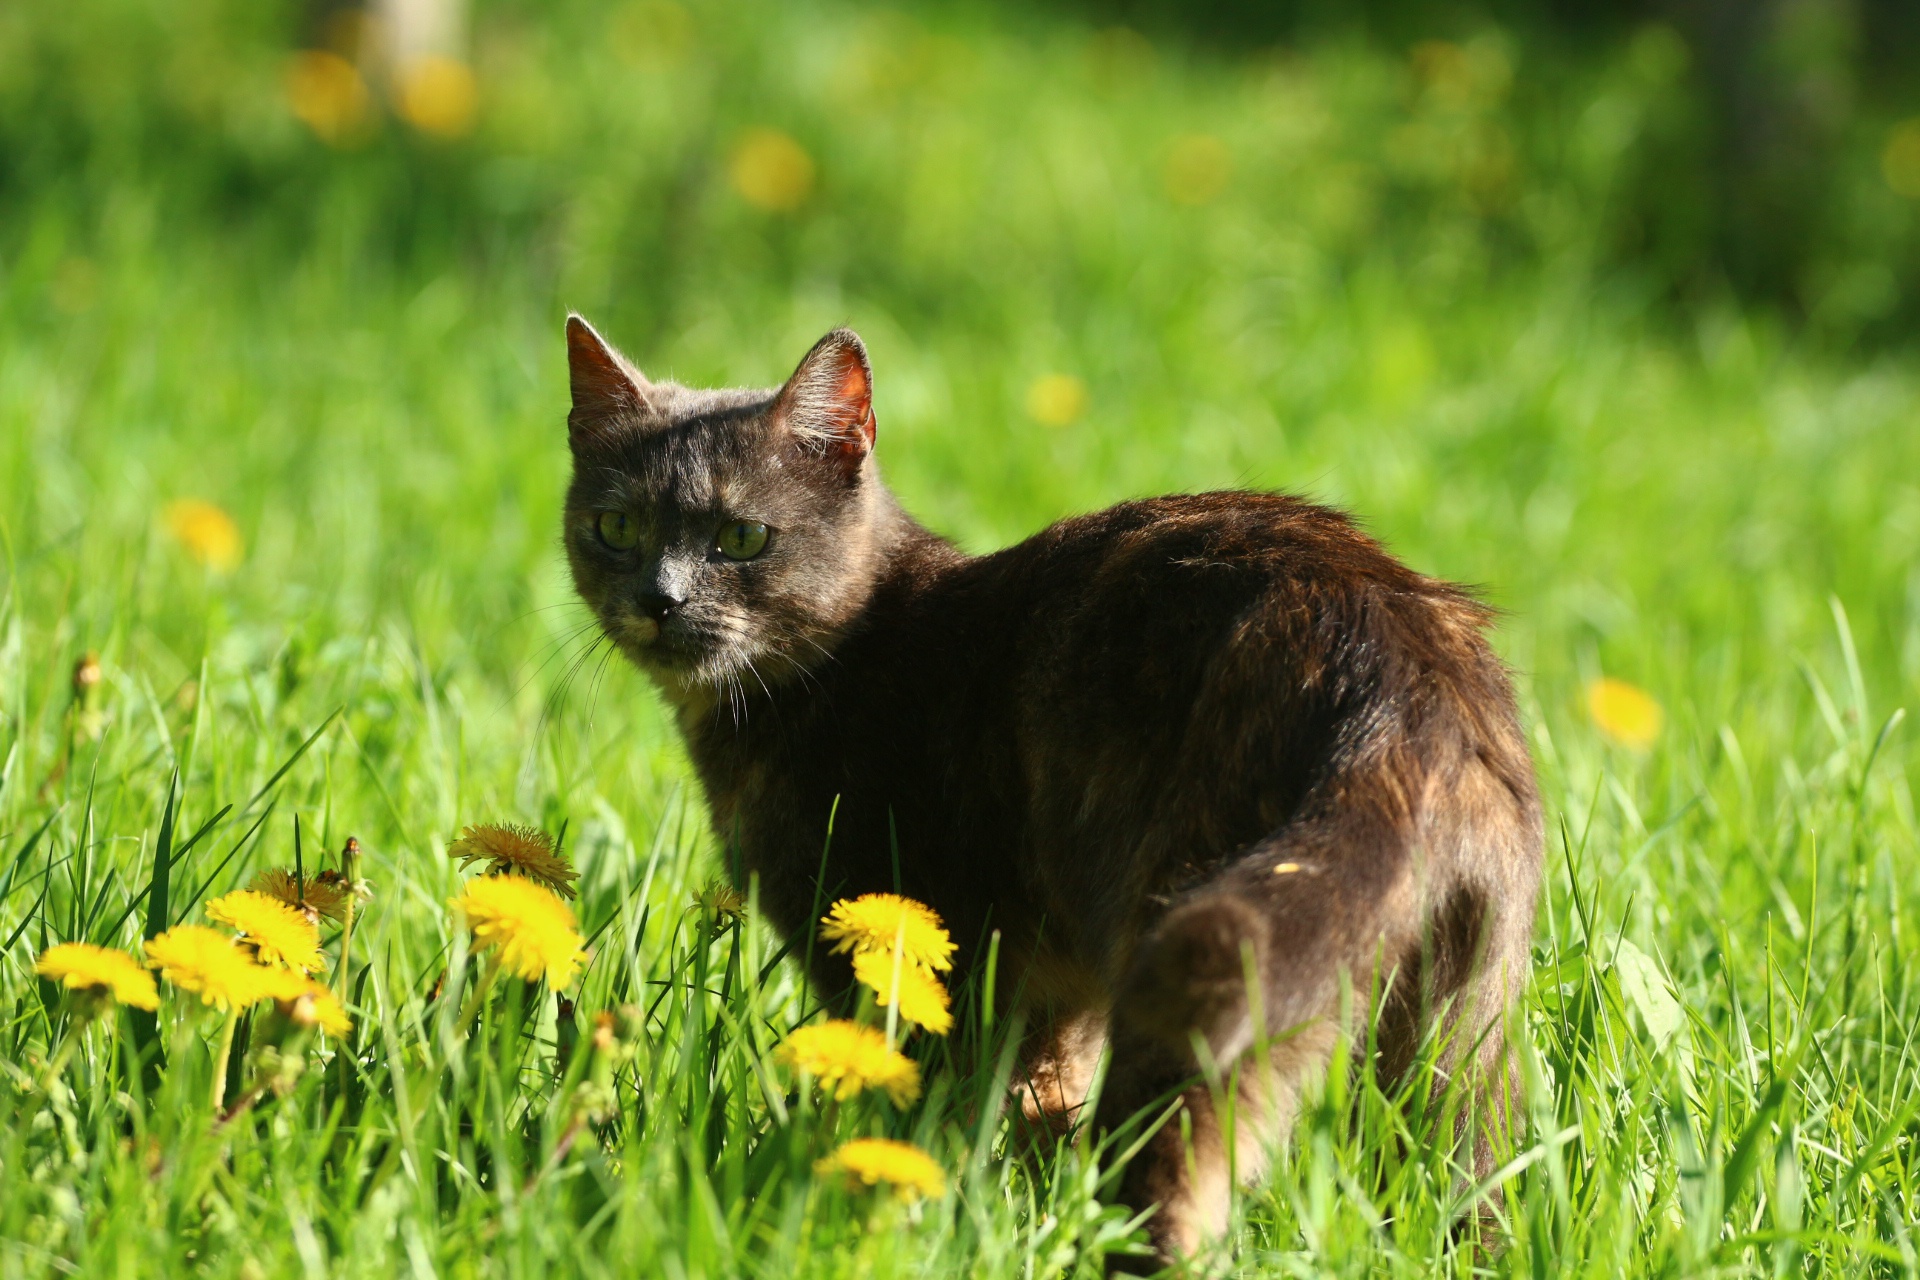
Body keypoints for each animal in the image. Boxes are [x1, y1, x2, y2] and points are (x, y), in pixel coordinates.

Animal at [560, 318, 1543, 1258]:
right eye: (618, 528)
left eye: (742, 537)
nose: (659, 599)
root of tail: (1401, 680)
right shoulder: (1056, 998)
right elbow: (1041, 1108)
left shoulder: (923, 955)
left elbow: (930, 1105)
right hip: (1456, 1030)